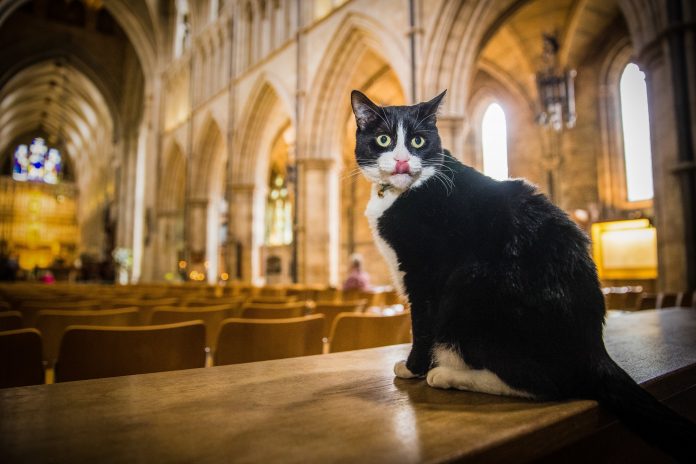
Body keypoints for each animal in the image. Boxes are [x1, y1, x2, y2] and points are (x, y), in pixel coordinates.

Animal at [350, 89, 696, 460]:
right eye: (383, 140)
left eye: (417, 141)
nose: (402, 162)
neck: (402, 193)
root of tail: (595, 350)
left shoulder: (425, 274)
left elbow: (422, 328)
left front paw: (413, 368)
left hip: (470, 288)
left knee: (547, 384)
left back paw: (449, 375)